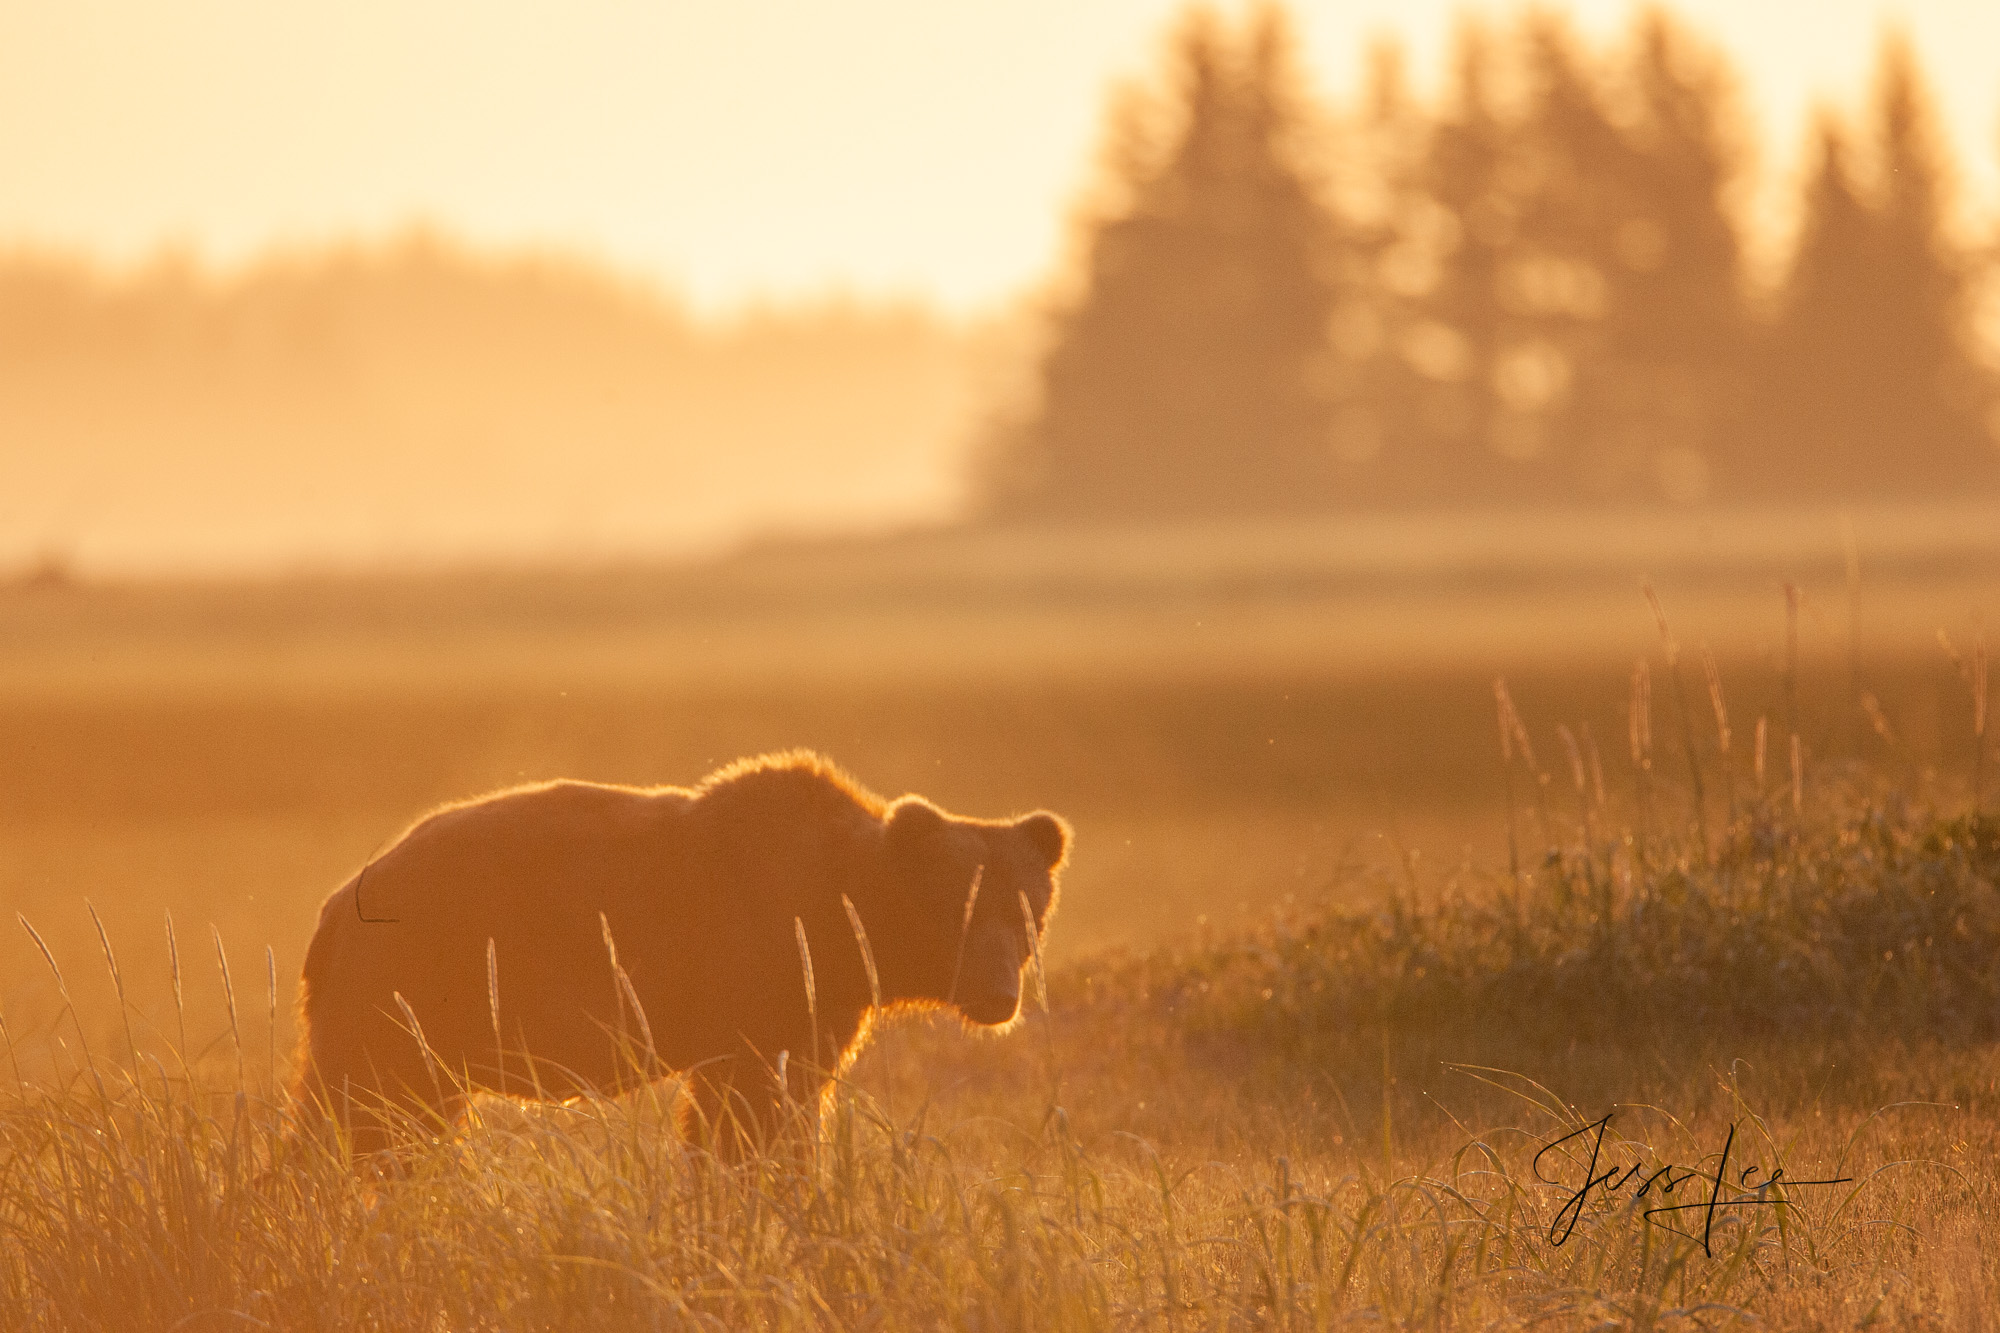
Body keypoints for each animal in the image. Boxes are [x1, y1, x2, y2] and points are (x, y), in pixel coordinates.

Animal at [292, 748, 1064, 1152]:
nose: (999, 995)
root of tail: (334, 907)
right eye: (959, 905)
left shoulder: (821, 1004)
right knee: (352, 1108)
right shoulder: (762, 973)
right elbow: (746, 1108)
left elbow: (785, 1098)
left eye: (1024, 909)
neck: (849, 917)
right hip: (403, 989)